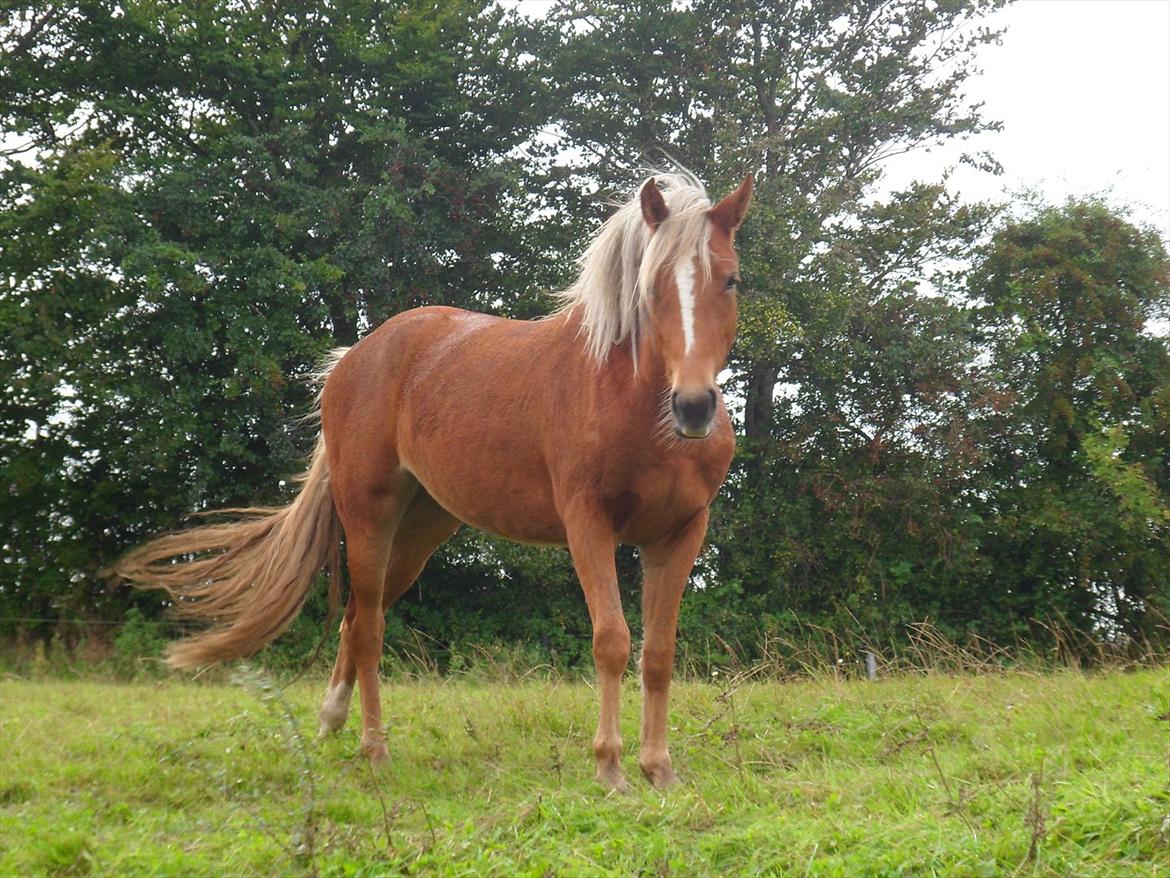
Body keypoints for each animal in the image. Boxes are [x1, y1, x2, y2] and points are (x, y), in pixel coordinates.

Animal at [114, 172, 753, 791]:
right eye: (652, 287)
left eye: (731, 281)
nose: (693, 406)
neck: (637, 408)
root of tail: (351, 359)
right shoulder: (588, 525)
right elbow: (613, 641)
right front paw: (610, 767)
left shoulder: (679, 533)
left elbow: (659, 653)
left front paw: (659, 768)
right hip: (369, 518)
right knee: (369, 627)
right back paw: (374, 749)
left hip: (421, 530)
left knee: (354, 619)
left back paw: (330, 723)